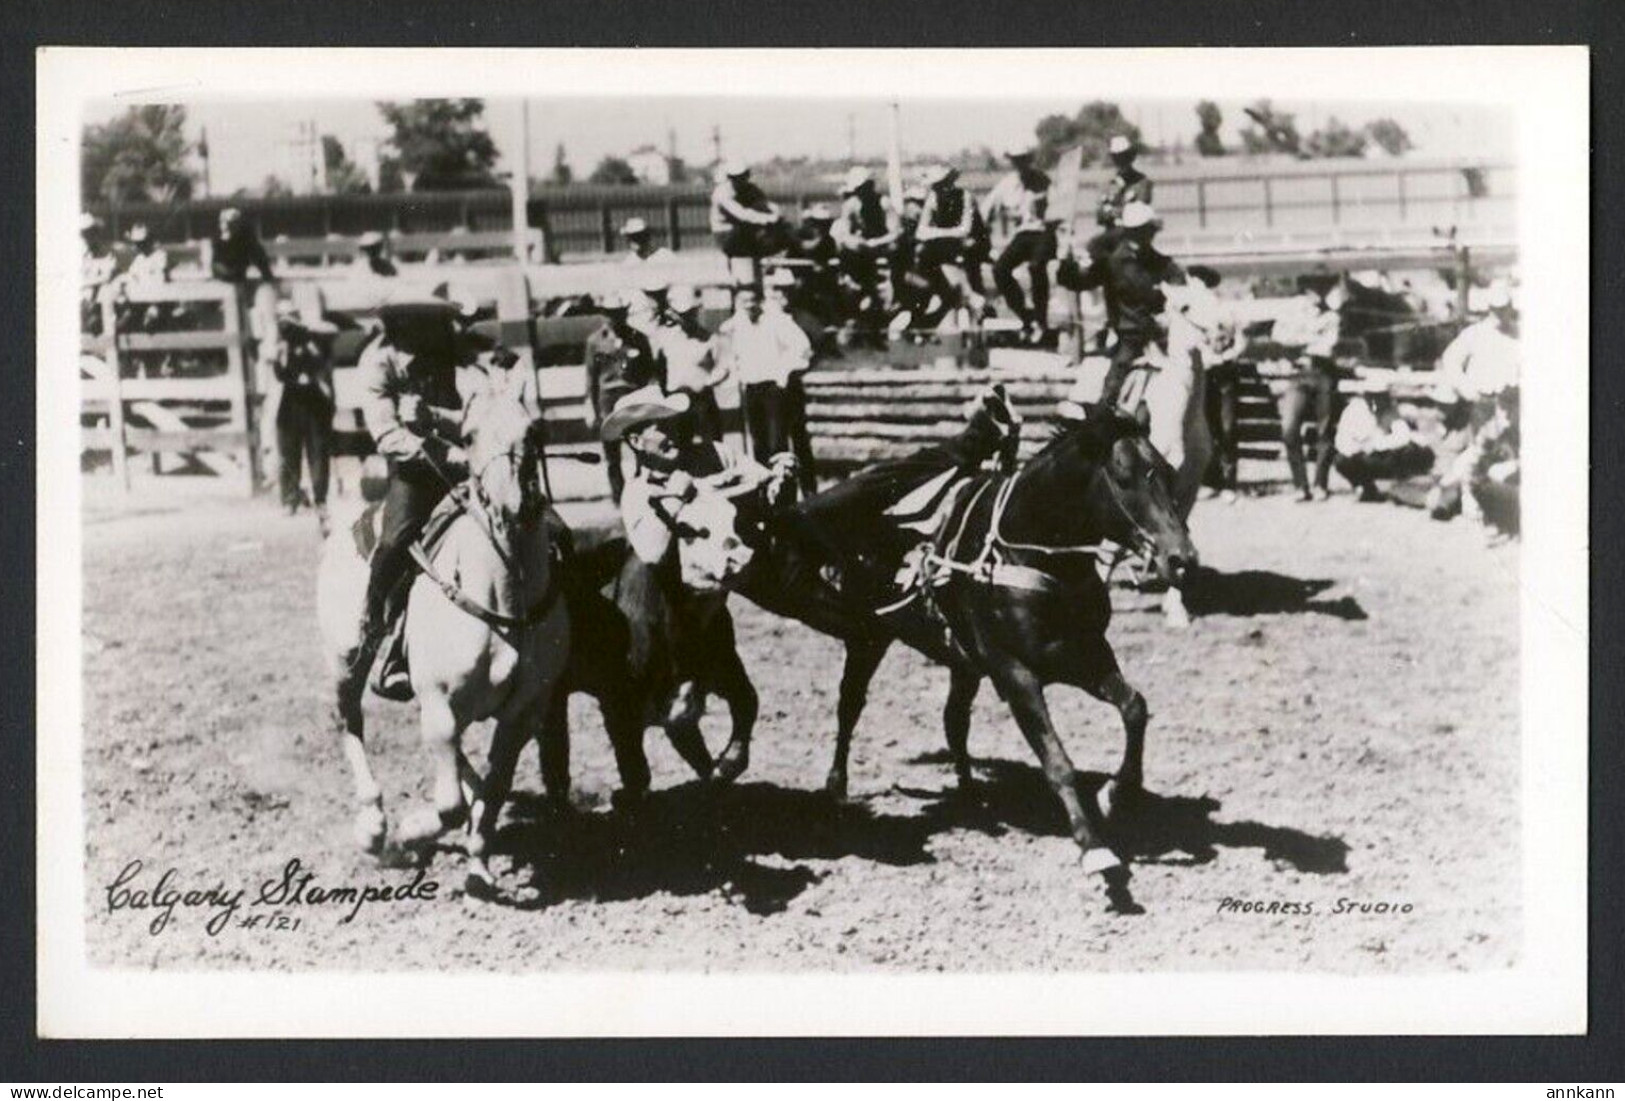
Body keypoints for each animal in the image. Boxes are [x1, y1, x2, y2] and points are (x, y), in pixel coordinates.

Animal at [316, 367, 572, 883]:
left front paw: (479, 862)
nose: (511, 508)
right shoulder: (439, 706)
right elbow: (448, 804)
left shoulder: (523, 713)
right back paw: (374, 830)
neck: (504, 601)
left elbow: (496, 784)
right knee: (349, 720)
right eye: (469, 437)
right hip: (346, 660)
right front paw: (411, 832)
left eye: (533, 432)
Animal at [731, 409, 1202, 902]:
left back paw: (970, 793)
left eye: (1168, 473)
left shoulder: (1085, 654)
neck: (1028, 547)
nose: (1182, 560)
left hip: (962, 661)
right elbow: (1058, 762)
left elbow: (1134, 707)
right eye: (1124, 477)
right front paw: (1096, 851)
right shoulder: (1014, 672)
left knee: (953, 720)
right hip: (869, 637)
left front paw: (1117, 792)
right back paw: (837, 788)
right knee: (850, 706)